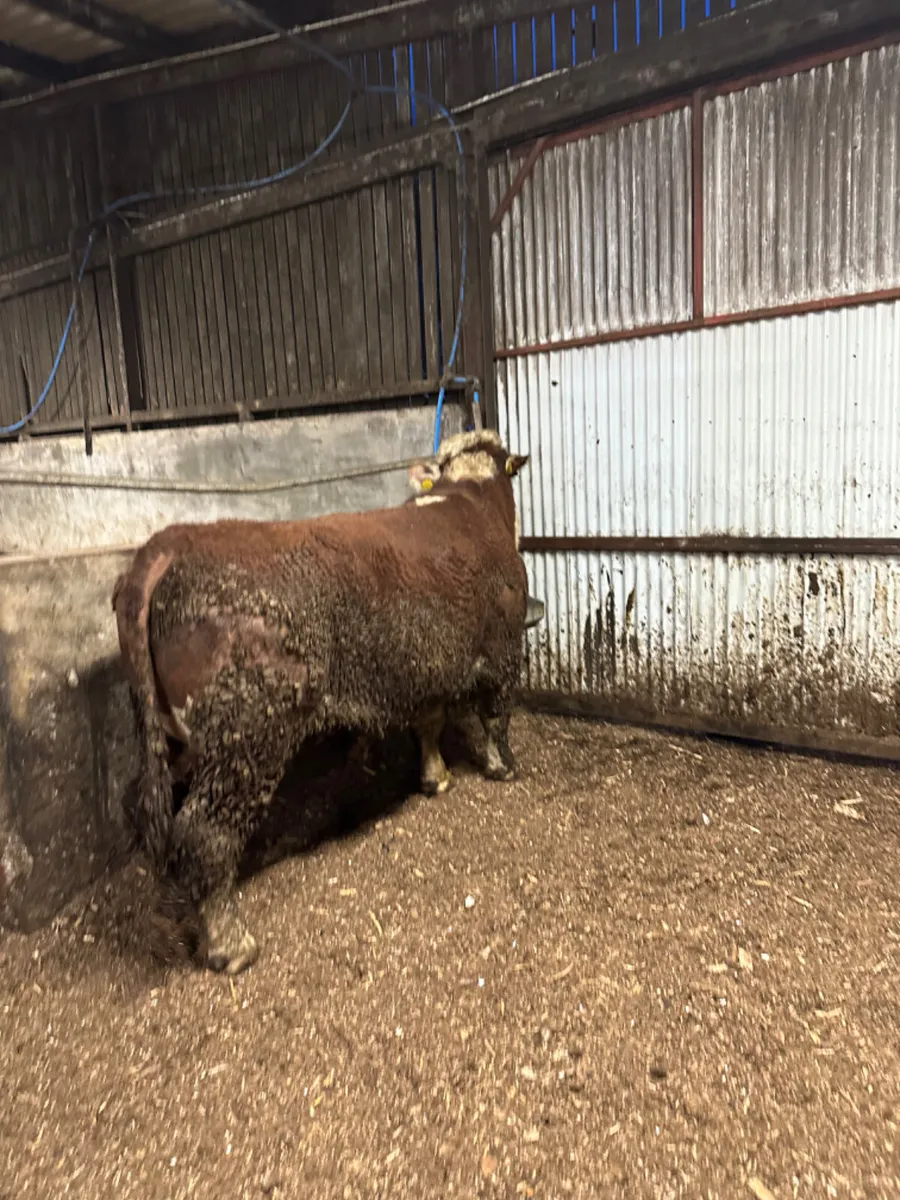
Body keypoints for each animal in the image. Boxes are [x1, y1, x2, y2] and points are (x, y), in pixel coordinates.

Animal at [113, 429, 530, 974]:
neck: (469, 498)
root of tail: (169, 545)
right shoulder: (504, 650)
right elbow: (496, 716)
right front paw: (504, 768)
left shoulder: (423, 668)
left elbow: (429, 722)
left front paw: (435, 778)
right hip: (248, 738)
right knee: (204, 834)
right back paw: (232, 945)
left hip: (172, 735)